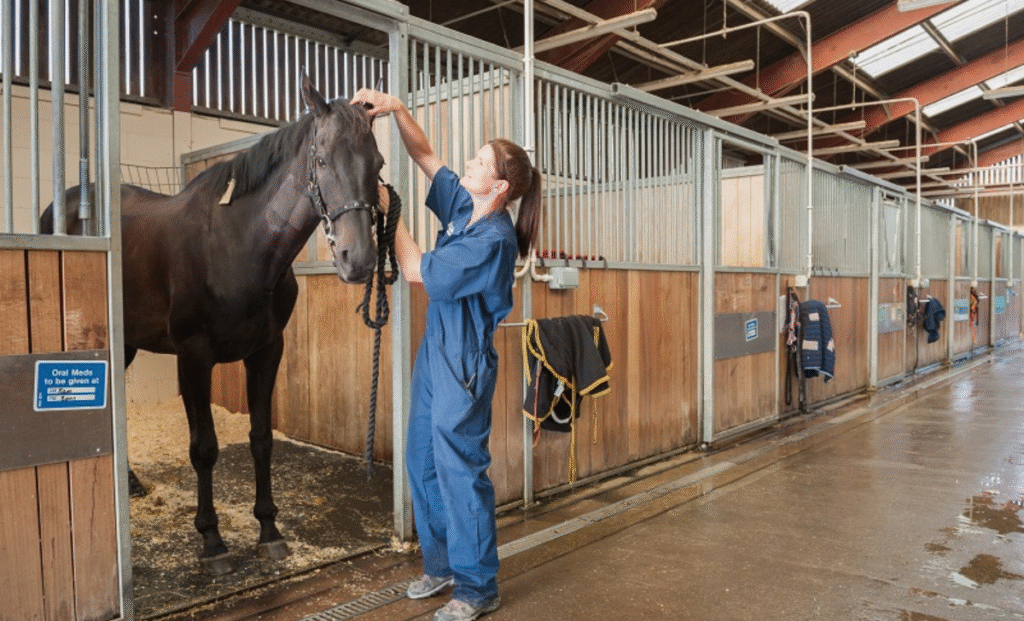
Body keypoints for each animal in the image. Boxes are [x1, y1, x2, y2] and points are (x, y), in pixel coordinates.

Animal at [41, 76, 385, 575]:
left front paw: (269, 530)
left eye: (377, 164)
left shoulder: (266, 351)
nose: (357, 261)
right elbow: (203, 447)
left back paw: (131, 483)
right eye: (321, 159)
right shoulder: (193, 357)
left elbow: (261, 439)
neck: (238, 243)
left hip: (127, 342)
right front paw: (212, 540)